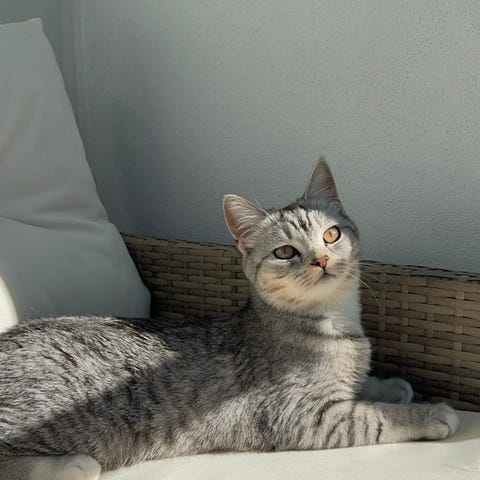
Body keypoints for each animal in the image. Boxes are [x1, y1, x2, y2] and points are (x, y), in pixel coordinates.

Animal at [0, 160, 458, 480]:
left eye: (331, 235)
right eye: (285, 252)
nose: (322, 259)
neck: (336, 323)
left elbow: (362, 387)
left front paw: (389, 385)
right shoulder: (299, 416)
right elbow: (370, 416)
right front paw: (427, 412)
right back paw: (70, 465)